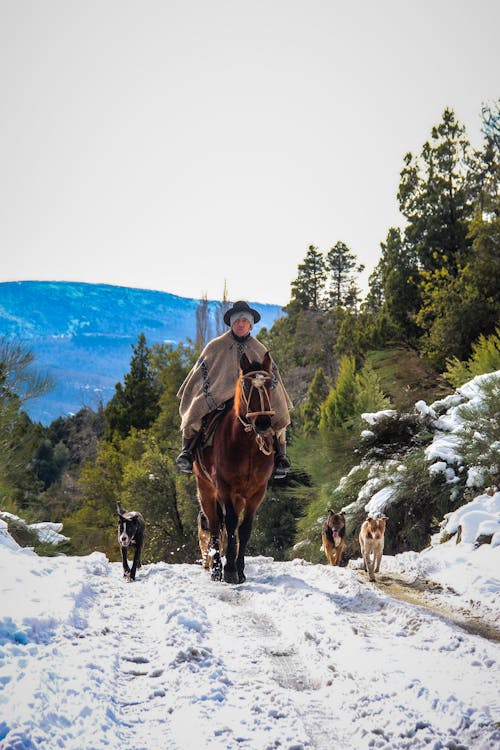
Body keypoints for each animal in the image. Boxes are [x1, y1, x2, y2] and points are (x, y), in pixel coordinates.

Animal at [192, 354, 278, 588]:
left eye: (270, 384)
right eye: (247, 385)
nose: (263, 422)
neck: (246, 445)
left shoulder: (257, 493)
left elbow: (244, 529)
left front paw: (240, 570)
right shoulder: (224, 488)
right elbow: (229, 525)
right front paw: (229, 571)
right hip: (206, 490)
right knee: (214, 526)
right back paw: (216, 570)